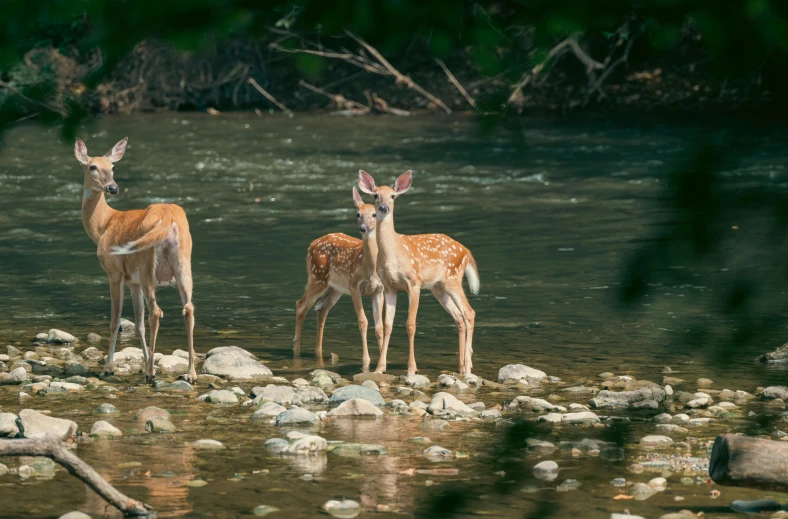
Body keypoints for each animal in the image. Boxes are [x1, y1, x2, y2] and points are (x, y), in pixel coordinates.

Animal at [74, 137, 196, 382]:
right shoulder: (134, 281)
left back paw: (150, 374)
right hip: (183, 262)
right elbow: (138, 323)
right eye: (92, 167)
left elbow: (115, 321)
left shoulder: (114, 273)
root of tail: (168, 219)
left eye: (112, 167)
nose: (113, 187)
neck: (103, 225)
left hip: (148, 263)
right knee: (188, 309)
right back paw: (190, 373)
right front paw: (147, 361)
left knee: (156, 312)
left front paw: (109, 367)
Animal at [292, 189, 384, 368]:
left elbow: (380, 327)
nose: (363, 228)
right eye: (358, 214)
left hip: (335, 288)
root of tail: (311, 244)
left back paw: (318, 352)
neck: (369, 268)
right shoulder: (354, 285)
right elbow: (363, 321)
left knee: (321, 309)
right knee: (301, 305)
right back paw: (296, 350)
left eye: (374, 214)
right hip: (317, 277)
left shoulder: (379, 289)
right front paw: (366, 360)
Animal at [358, 172, 480, 378]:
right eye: (375, 195)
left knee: (469, 313)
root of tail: (466, 250)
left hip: (452, 278)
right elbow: (388, 325)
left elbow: (410, 324)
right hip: (438, 288)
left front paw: (411, 368)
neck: (393, 254)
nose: (383, 208)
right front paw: (380, 368)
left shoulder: (414, 282)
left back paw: (468, 366)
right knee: (459, 317)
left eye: (393, 196)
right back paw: (461, 366)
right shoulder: (389, 287)